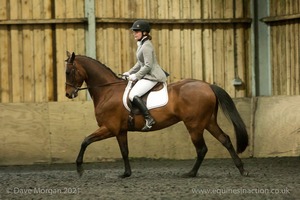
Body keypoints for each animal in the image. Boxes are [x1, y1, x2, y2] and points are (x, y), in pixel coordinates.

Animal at [65, 51, 248, 178]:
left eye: (68, 72)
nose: (68, 94)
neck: (107, 91)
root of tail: (208, 85)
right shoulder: (120, 131)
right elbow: (124, 151)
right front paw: (126, 174)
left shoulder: (109, 128)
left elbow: (85, 141)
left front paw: (79, 168)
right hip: (208, 121)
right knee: (225, 140)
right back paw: (241, 169)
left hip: (194, 125)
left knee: (202, 149)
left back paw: (190, 173)